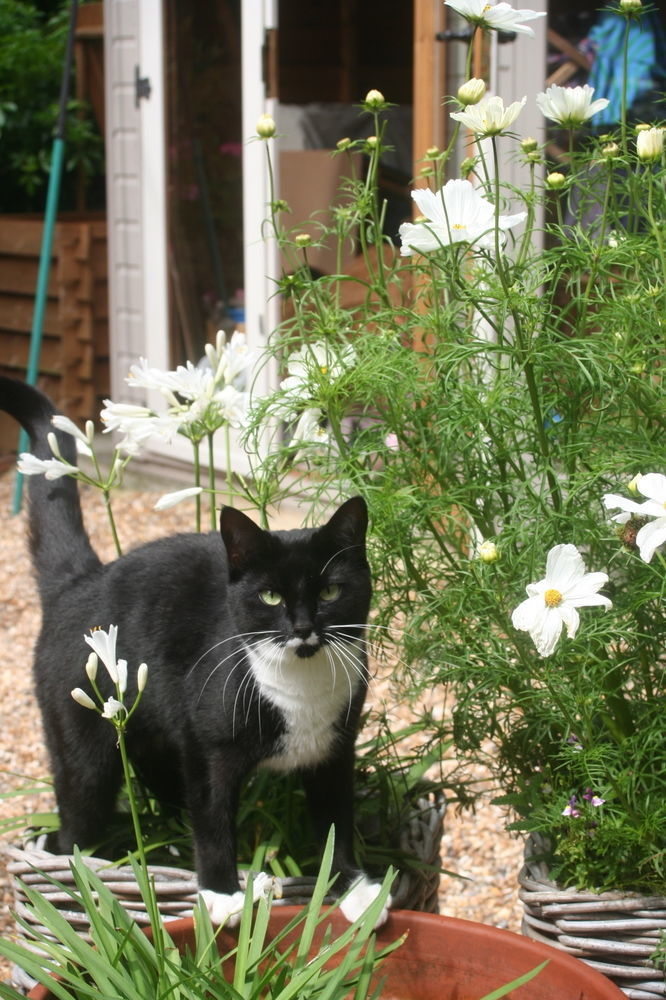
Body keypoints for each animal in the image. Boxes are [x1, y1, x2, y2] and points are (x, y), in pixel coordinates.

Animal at [0, 378, 386, 924]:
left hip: (155, 739)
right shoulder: (207, 750)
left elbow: (336, 820)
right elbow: (213, 818)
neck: (299, 688)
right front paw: (221, 894)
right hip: (83, 748)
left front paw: (357, 887)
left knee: (161, 785)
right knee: (74, 823)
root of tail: (80, 581)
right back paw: (83, 862)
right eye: (270, 596)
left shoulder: (335, 749)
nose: (304, 627)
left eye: (331, 591)